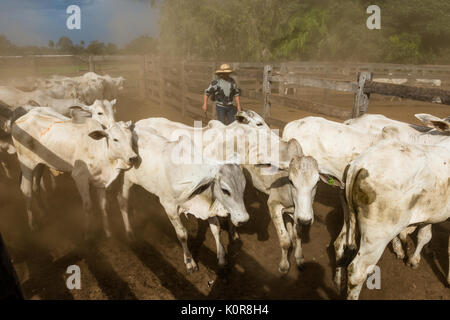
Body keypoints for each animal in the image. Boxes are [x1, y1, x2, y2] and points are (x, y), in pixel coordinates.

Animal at [118, 126, 248, 272]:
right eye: (225, 190)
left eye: (244, 187)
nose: (244, 219)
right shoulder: (169, 207)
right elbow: (182, 234)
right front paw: (189, 261)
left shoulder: (207, 208)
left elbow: (216, 229)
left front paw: (221, 257)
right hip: (127, 180)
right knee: (122, 200)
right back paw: (129, 233)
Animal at [342, 116, 448, 298]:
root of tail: (361, 164)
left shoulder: (430, 212)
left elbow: (424, 236)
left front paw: (413, 259)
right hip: (377, 236)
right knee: (357, 272)